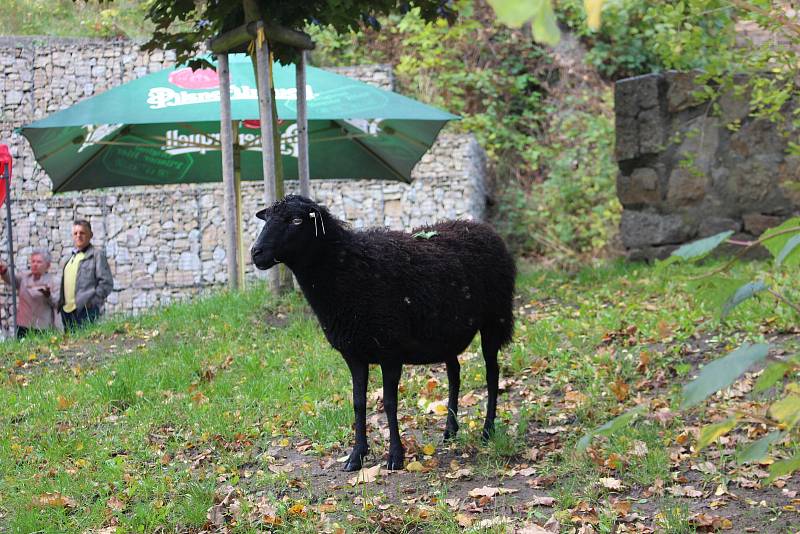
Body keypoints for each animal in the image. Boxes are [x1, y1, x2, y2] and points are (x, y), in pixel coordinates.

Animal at [252, 197, 520, 474]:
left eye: (296, 220)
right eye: (267, 218)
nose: (256, 253)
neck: (345, 269)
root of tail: (482, 227)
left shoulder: (390, 351)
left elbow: (390, 404)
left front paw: (395, 456)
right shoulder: (354, 354)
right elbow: (358, 403)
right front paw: (356, 456)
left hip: (495, 319)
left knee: (491, 373)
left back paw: (488, 430)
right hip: (446, 333)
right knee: (454, 374)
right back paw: (450, 431)